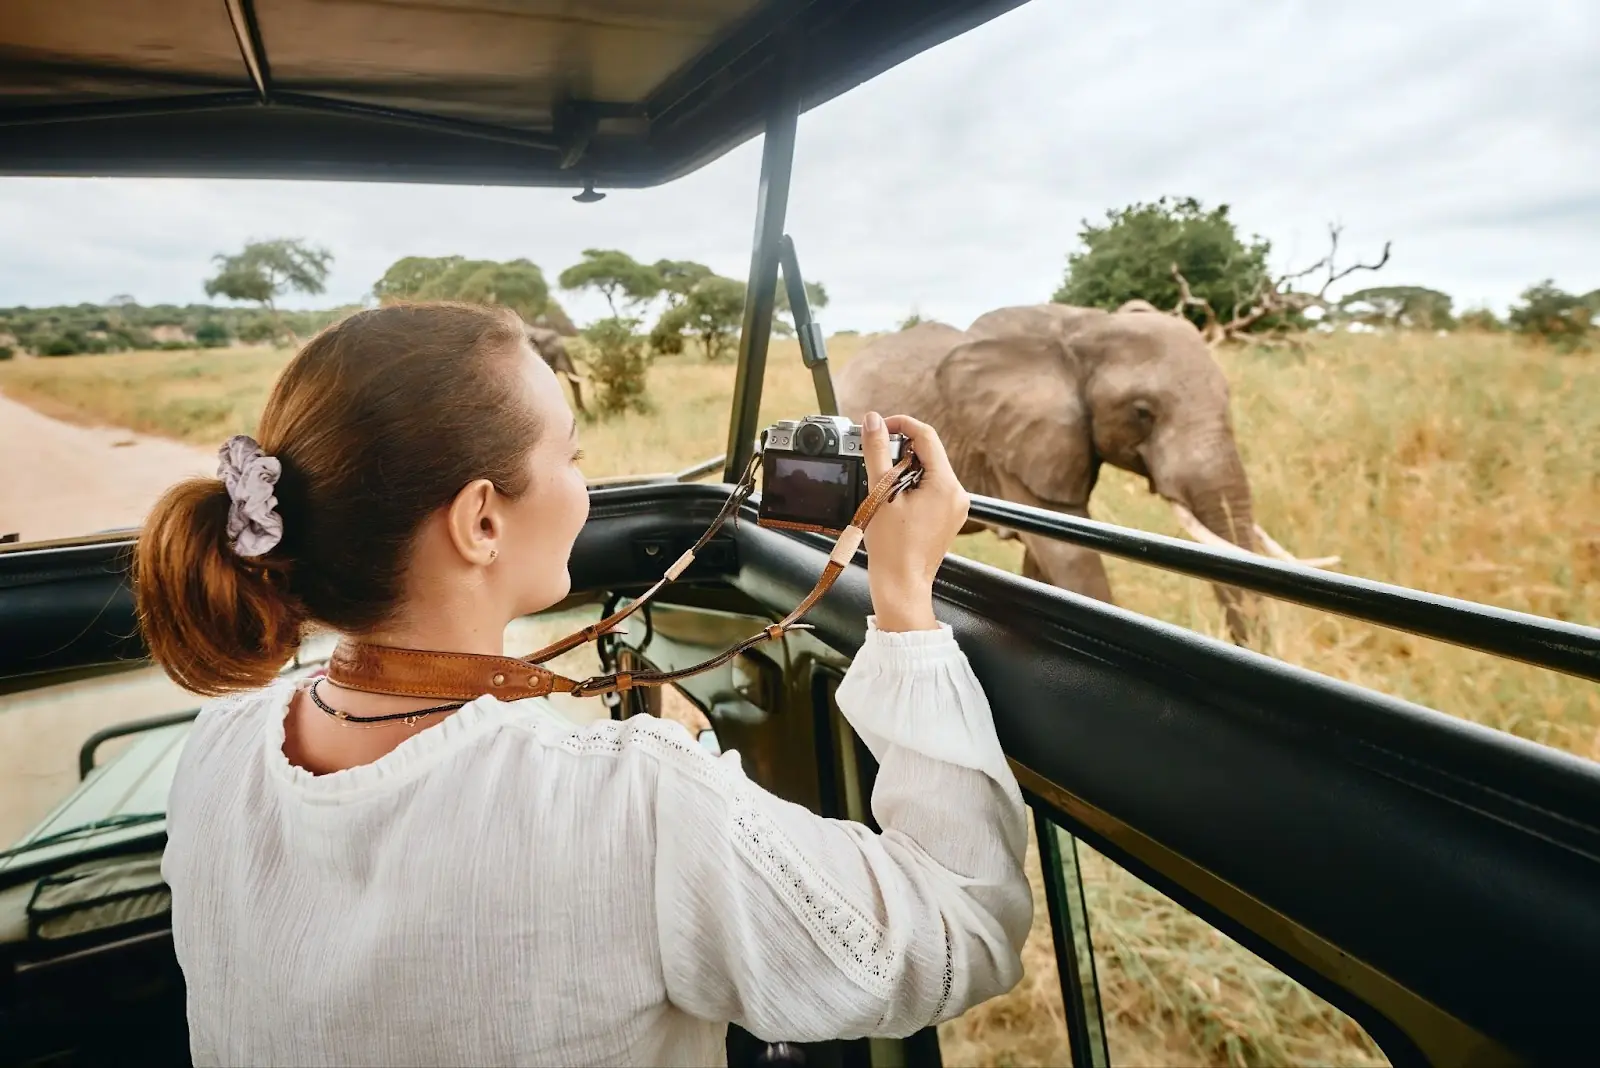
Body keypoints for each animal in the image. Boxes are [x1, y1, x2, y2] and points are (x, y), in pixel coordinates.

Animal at [832, 303, 1318, 645]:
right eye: (1142, 412)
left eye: (1228, 396)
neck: (1088, 326)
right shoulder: (1017, 444)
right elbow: (1068, 555)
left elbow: (1047, 558)